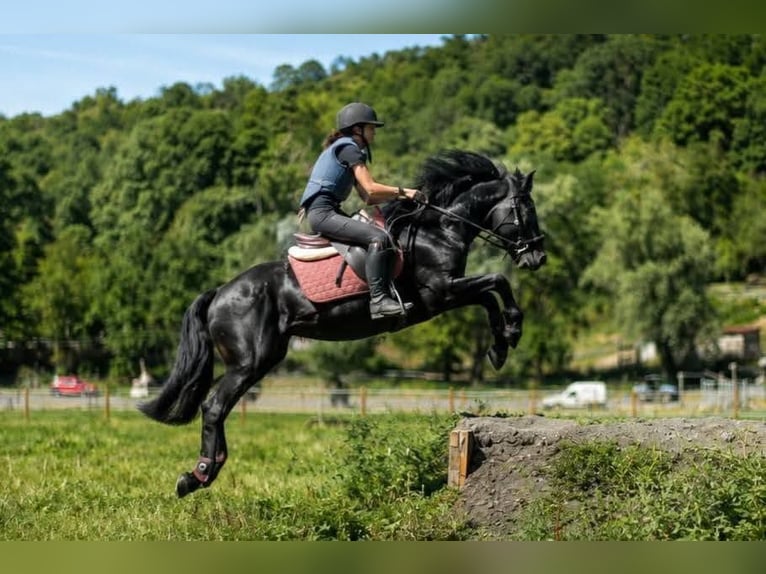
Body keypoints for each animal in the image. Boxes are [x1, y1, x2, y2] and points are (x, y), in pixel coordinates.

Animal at [138, 150, 546, 498]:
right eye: (526, 209)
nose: (538, 258)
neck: (438, 228)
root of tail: (220, 293)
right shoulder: (441, 293)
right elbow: (496, 282)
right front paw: (510, 332)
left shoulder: (446, 294)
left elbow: (490, 293)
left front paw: (500, 346)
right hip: (250, 361)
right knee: (213, 407)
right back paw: (199, 475)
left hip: (263, 359)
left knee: (217, 407)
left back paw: (205, 471)